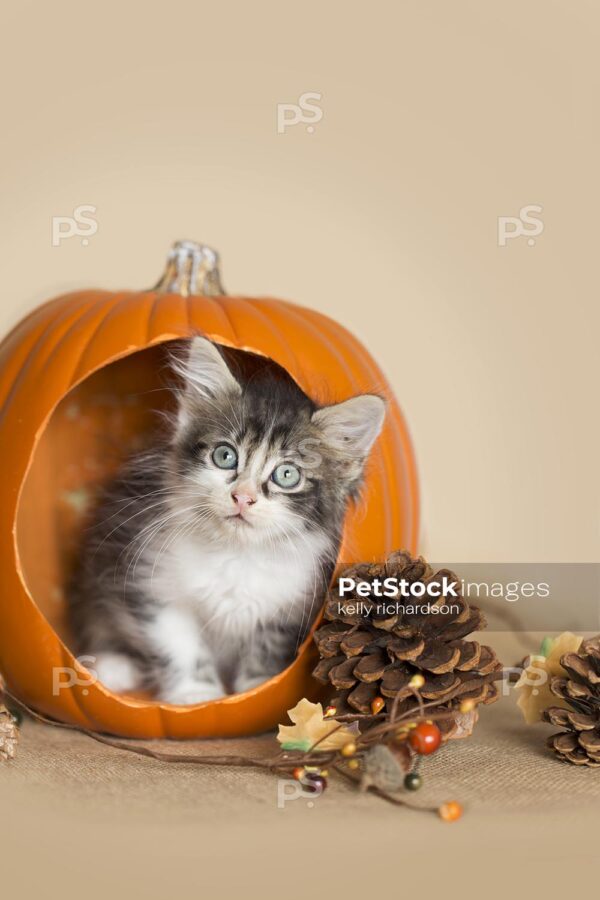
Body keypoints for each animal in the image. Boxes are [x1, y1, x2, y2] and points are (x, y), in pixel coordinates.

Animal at [68, 338, 386, 704]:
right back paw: (112, 666)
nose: (243, 497)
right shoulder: (151, 584)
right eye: (225, 456)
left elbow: (265, 649)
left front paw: (257, 688)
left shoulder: (290, 607)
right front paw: (195, 694)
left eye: (287, 475)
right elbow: (181, 647)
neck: (236, 552)